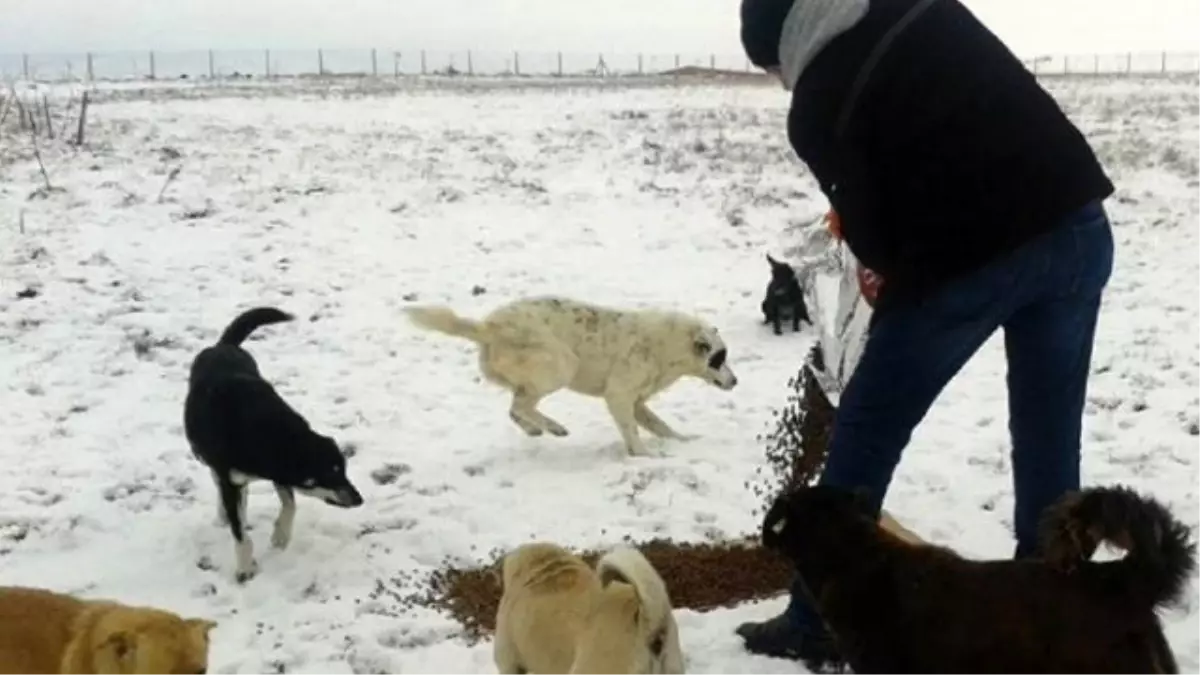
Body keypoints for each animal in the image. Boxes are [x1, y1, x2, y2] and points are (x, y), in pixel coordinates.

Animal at [182, 305, 364, 578]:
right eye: (329, 475)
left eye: (343, 470)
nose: (359, 499)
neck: (270, 433)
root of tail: (223, 345)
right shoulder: (233, 477)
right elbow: (240, 533)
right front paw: (245, 567)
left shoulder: (280, 472)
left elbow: (290, 505)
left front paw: (280, 536)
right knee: (222, 487)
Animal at [408, 293, 734, 454]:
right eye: (719, 359)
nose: (735, 380)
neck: (671, 346)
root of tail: (489, 327)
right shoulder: (619, 396)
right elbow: (632, 431)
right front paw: (644, 455)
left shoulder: (638, 403)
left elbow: (661, 426)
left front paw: (683, 442)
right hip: (562, 366)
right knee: (521, 406)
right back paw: (554, 427)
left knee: (515, 408)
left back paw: (536, 429)